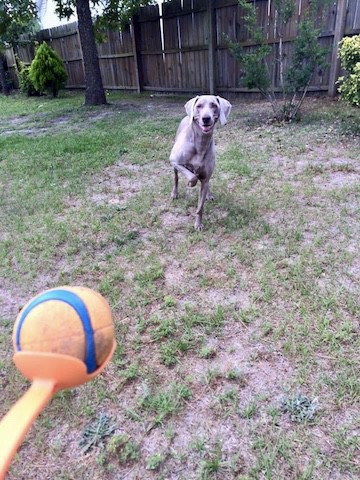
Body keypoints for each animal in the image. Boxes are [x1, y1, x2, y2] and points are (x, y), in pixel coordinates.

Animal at [170, 95, 232, 231]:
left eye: (214, 105)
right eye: (199, 106)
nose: (206, 118)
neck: (200, 143)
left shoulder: (205, 177)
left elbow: (200, 206)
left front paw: (198, 224)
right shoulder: (174, 160)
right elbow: (192, 176)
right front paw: (190, 182)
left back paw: (209, 194)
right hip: (175, 165)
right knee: (176, 178)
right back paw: (174, 193)